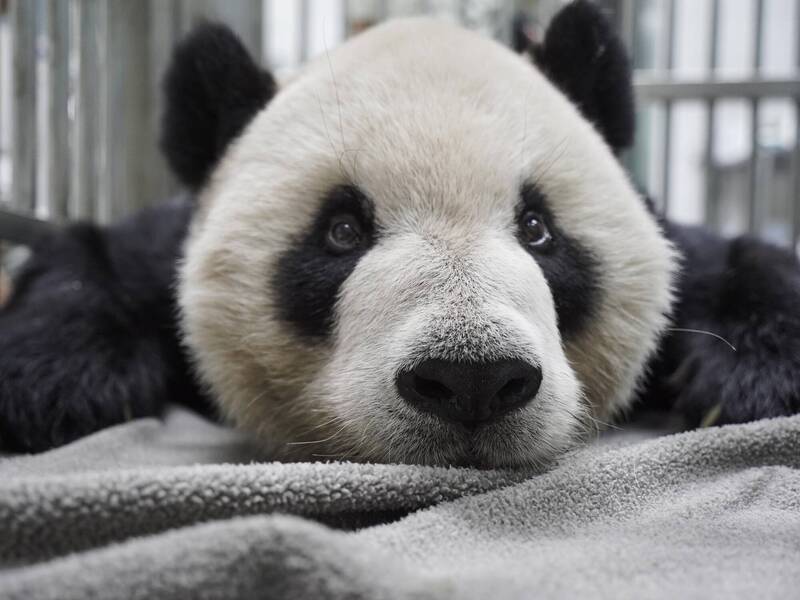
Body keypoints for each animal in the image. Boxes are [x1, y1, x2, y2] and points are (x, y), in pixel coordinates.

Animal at [1, 0, 800, 466]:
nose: (473, 378)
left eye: (537, 228)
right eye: (341, 231)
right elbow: (94, 261)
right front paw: (48, 388)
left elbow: (737, 260)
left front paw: (756, 380)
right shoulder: (167, 240)